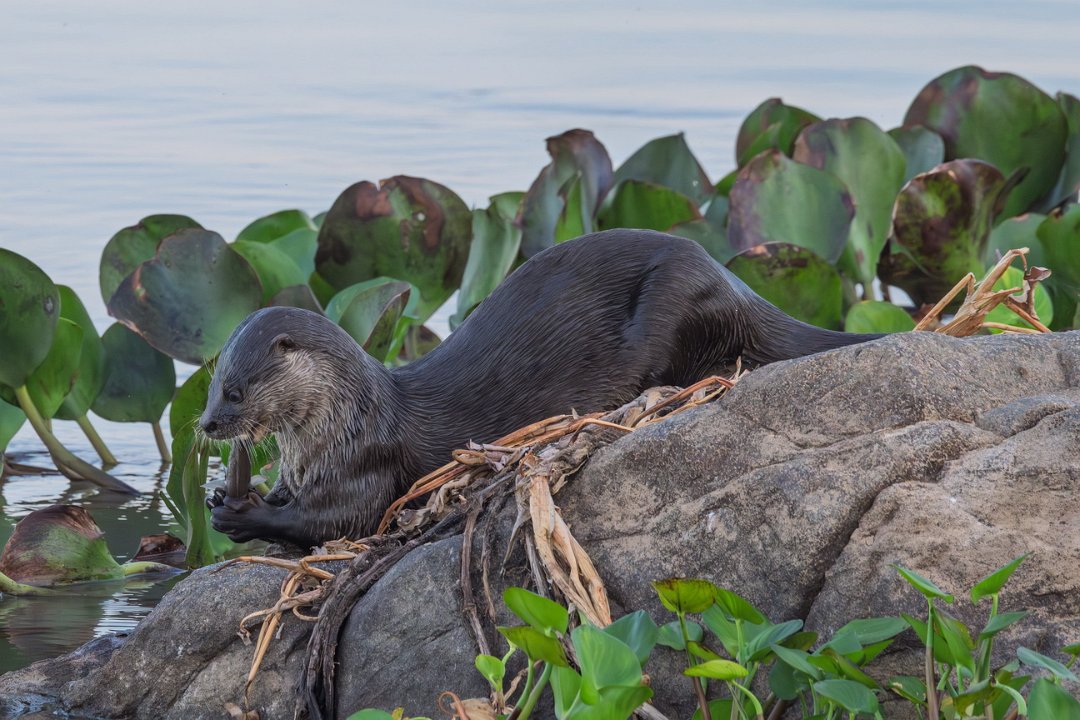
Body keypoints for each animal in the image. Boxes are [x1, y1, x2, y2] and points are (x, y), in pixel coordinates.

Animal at [203, 229, 881, 548]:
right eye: (210, 383)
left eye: (235, 391)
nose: (206, 424)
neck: (346, 421)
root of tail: (739, 287)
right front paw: (229, 494)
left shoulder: (365, 465)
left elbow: (336, 522)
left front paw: (244, 511)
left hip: (676, 301)